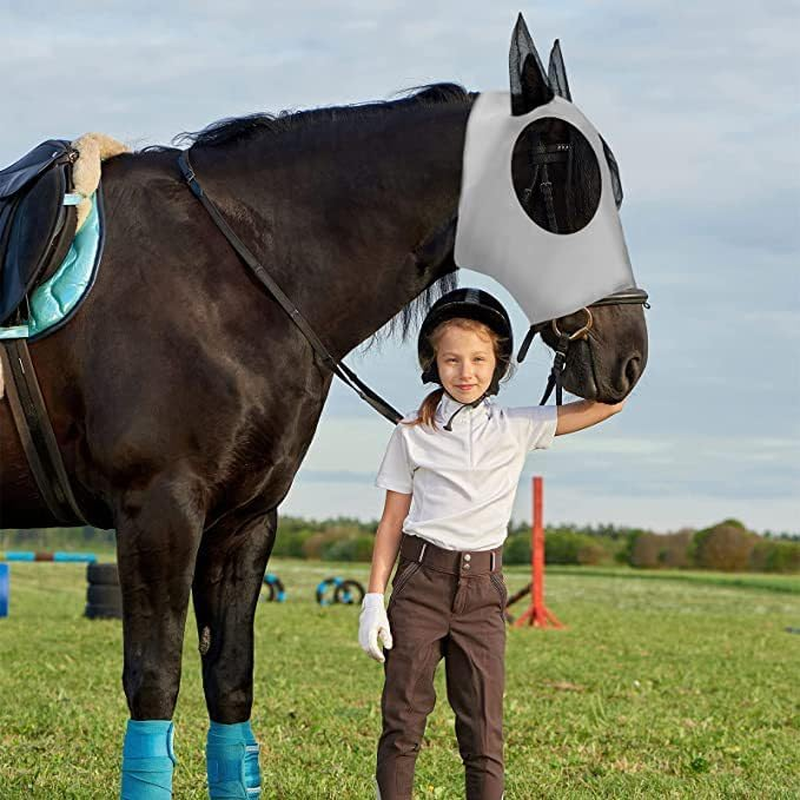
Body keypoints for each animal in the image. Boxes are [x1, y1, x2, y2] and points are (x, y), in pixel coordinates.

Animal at [0, 19, 648, 798]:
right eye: (574, 189)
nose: (629, 357)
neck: (227, 276)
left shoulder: (243, 522)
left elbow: (231, 691)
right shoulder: (157, 511)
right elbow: (155, 687)